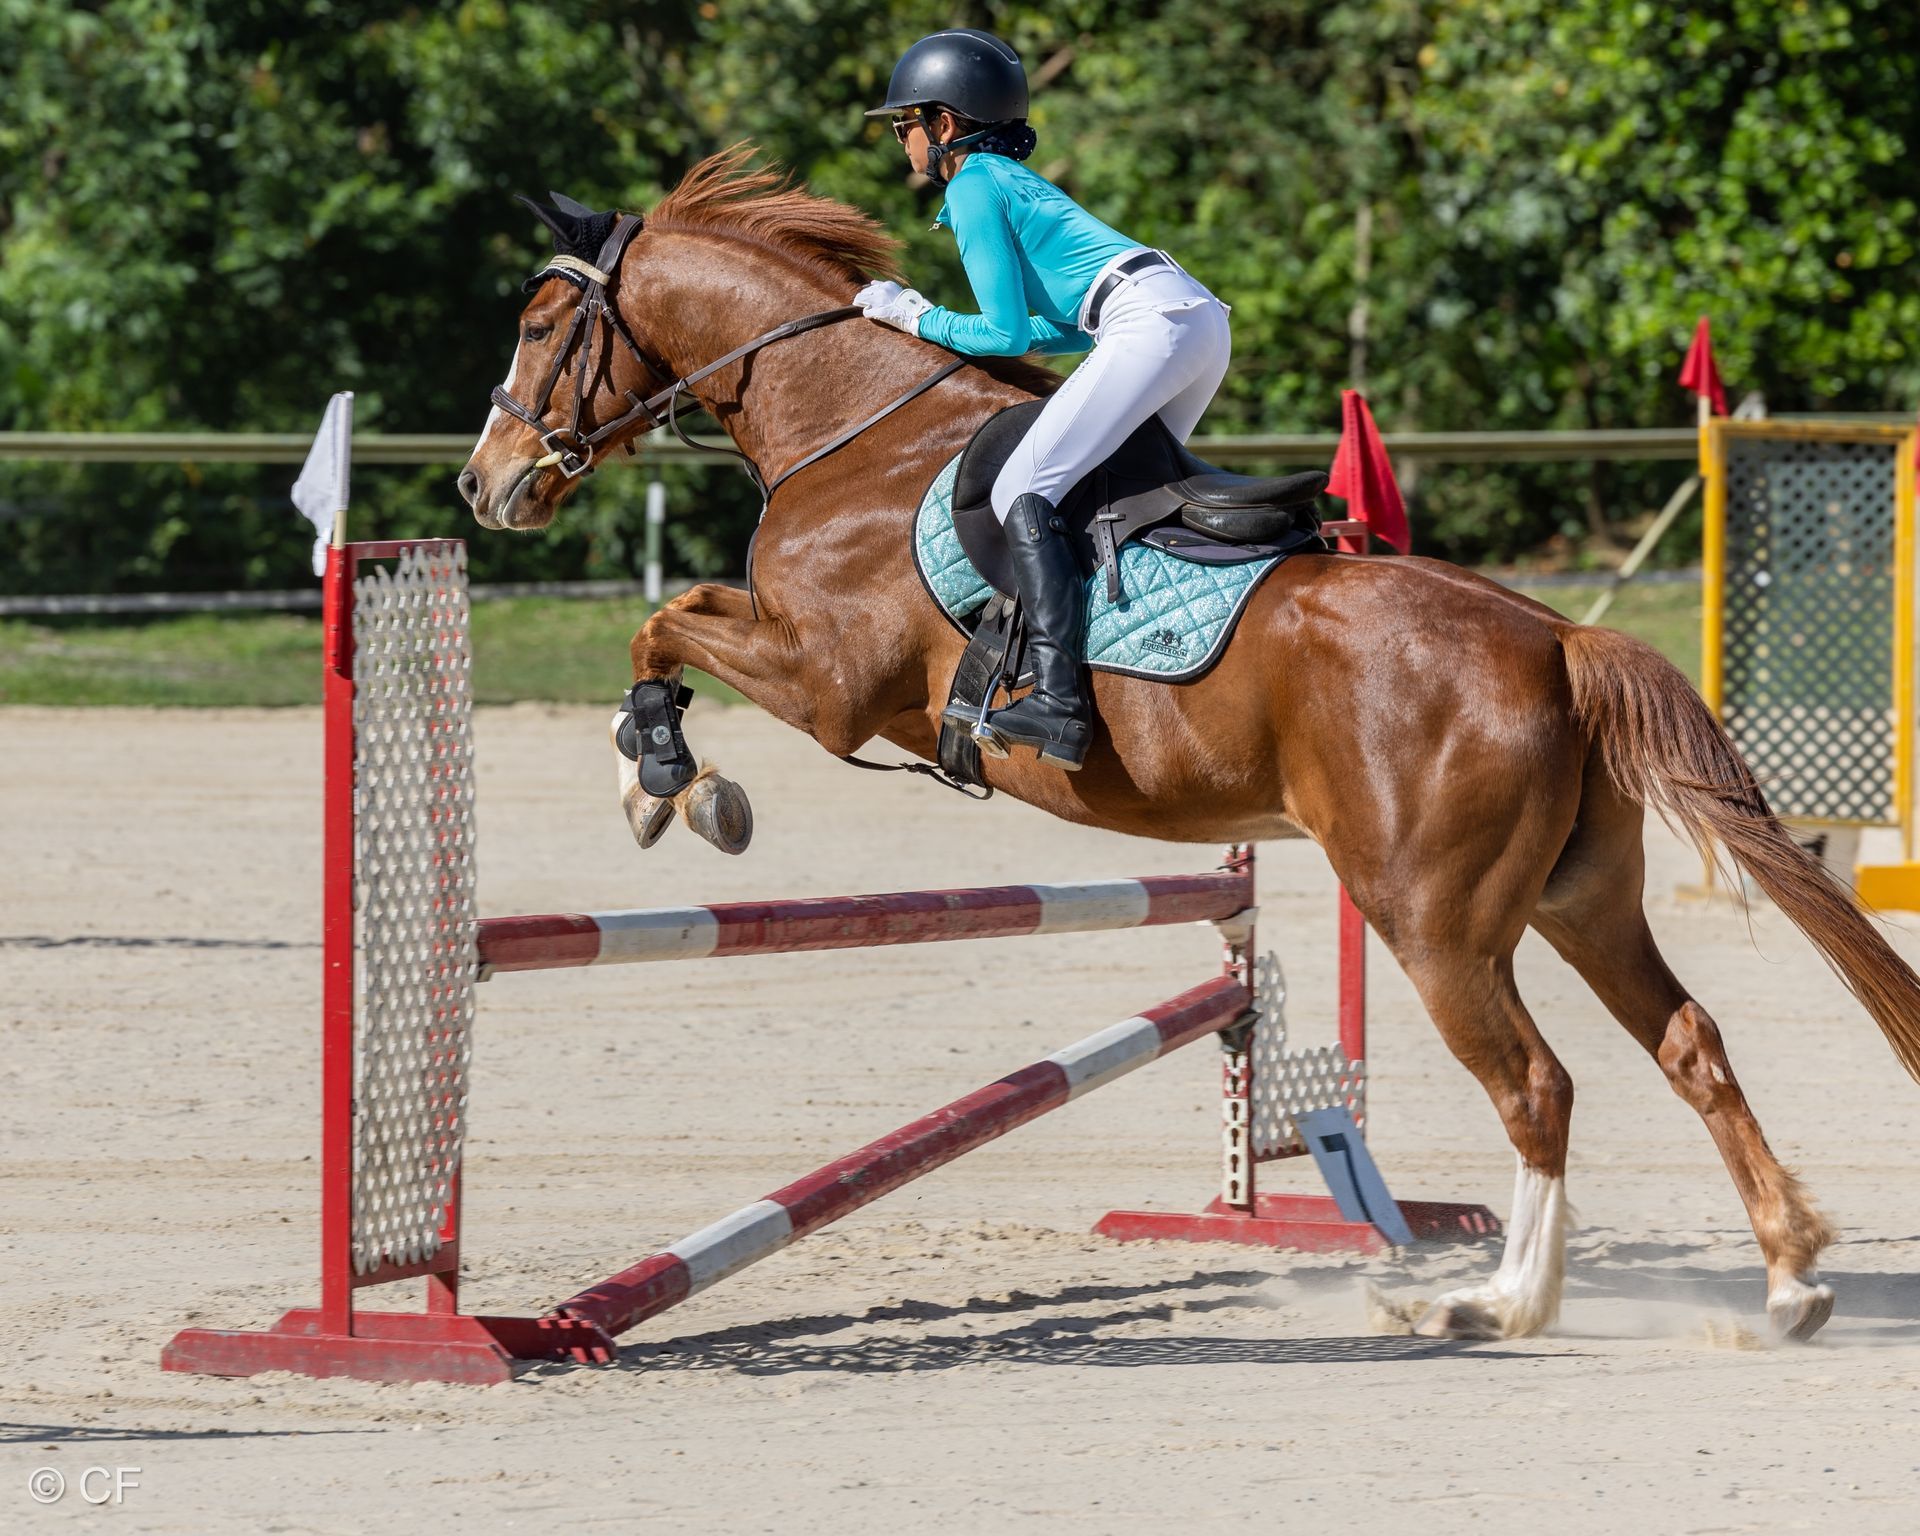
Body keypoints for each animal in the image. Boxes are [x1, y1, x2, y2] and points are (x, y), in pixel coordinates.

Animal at [458, 145, 1920, 1343]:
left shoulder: (826, 684)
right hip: (1582, 901)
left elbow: (663, 623)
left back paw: (1495, 1301)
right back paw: (1788, 1281)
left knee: (1538, 1087)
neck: (851, 432)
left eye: (536, 325)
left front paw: (670, 783)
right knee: (1688, 1045)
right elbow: (671, 621)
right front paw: (663, 777)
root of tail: (1554, 639)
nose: (484, 487)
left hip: (1434, 922)